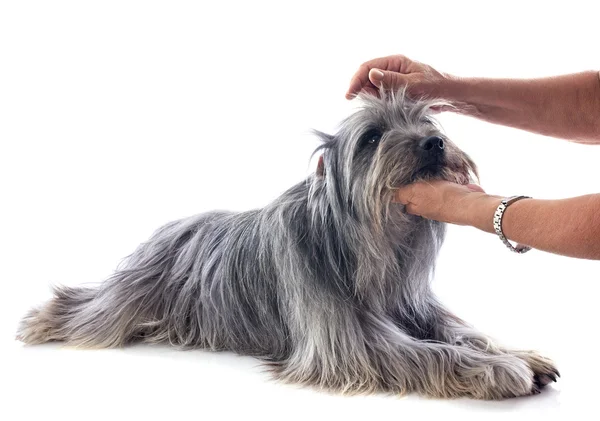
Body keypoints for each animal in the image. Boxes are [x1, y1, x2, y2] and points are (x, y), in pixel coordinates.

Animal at [18, 90, 556, 398]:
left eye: (428, 123)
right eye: (372, 137)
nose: (434, 144)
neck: (372, 240)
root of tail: (173, 227)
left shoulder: (412, 305)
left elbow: (461, 332)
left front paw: (518, 355)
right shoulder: (348, 343)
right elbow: (432, 353)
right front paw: (498, 371)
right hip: (125, 299)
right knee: (87, 308)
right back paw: (44, 318)